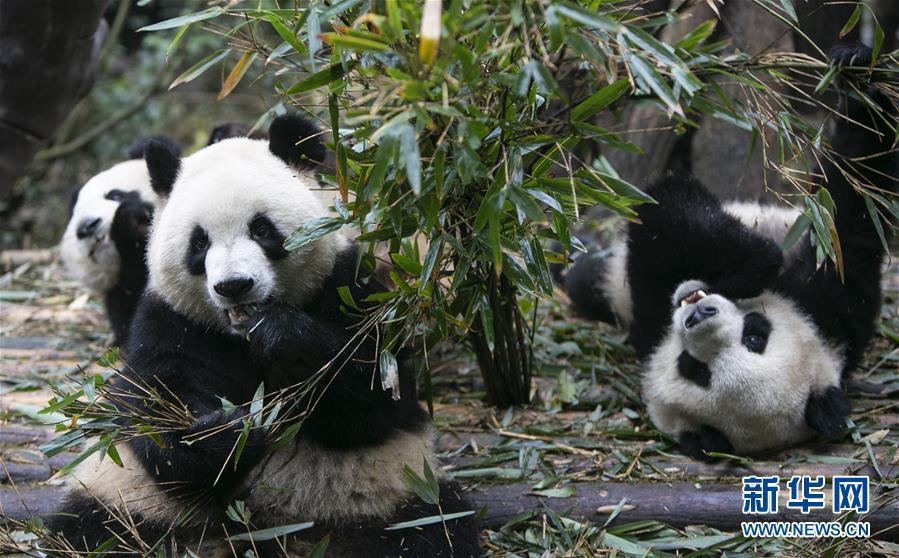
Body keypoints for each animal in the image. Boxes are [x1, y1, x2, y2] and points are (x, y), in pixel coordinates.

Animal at [560, 43, 896, 462]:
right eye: (756, 334)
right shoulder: (834, 309)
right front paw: (856, 66)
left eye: (696, 369)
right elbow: (849, 216)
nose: (698, 312)